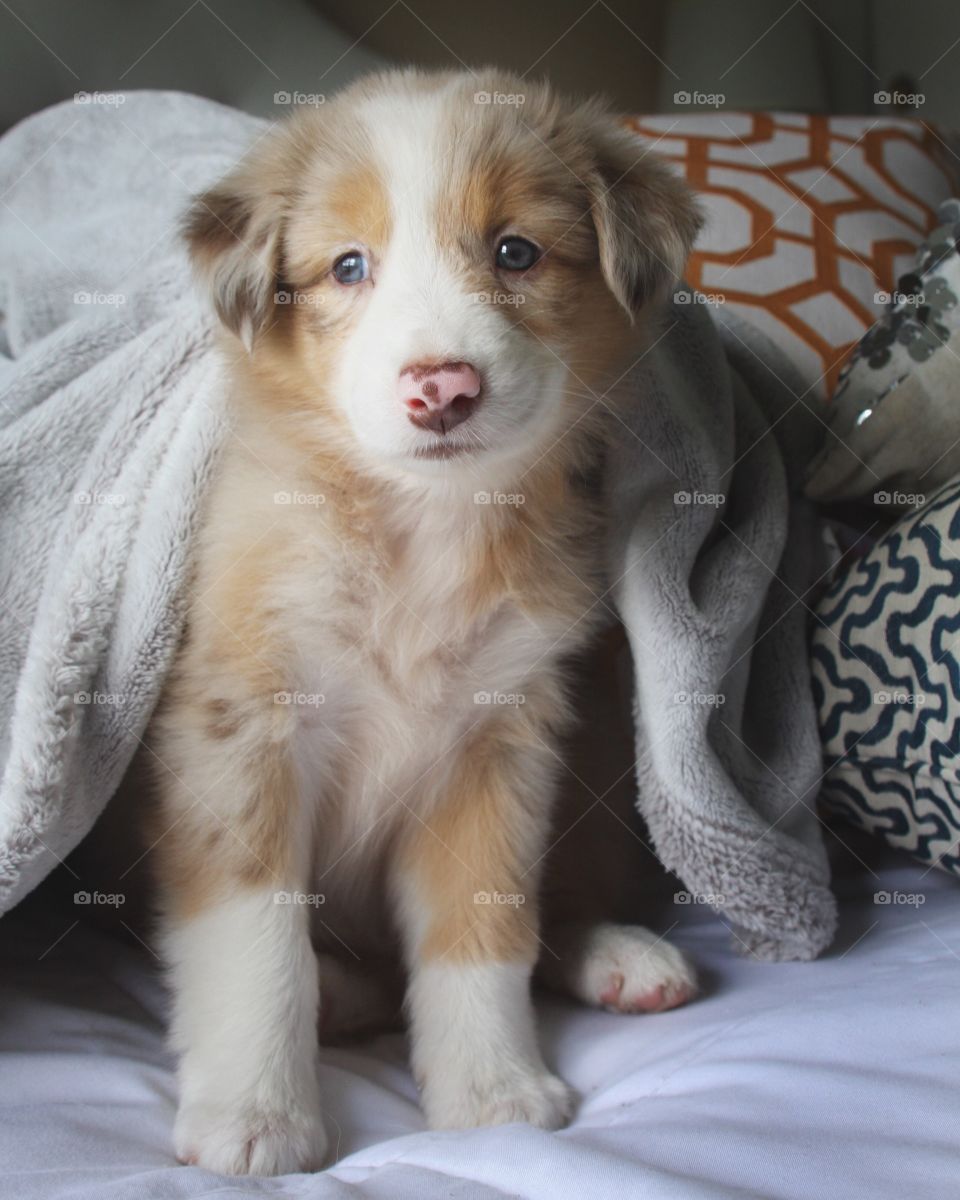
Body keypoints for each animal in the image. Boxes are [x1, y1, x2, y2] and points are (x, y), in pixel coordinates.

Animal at [151, 65, 705, 1171]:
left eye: (516, 251)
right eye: (347, 266)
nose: (441, 387)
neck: (420, 534)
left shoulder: (498, 746)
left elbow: (481, 935)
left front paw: (492, 1092)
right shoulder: (240, 726)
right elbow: (253, 934)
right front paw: (253, 1113)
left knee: (563, 892)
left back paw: (616, 953)